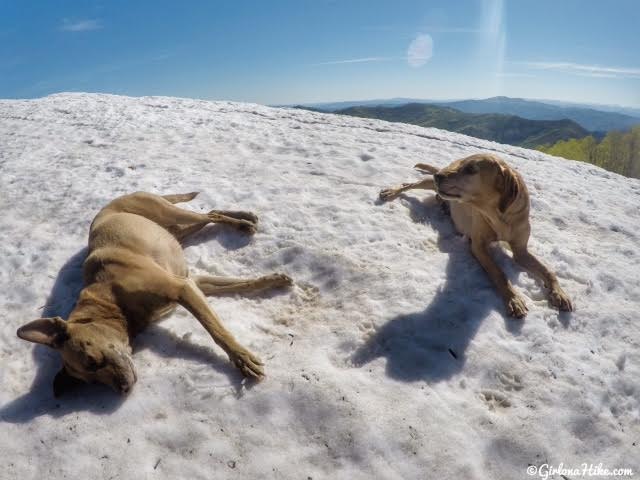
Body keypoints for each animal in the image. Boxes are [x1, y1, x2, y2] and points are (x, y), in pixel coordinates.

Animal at [17, 189, 292, 396]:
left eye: (93, 362)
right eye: (91, 381)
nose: (123, 389)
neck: (111, 299)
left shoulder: (181, 288)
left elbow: (217, 331)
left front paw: (242, 359)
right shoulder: (192, 283)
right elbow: (239, 284)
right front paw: (273, 281)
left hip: (167, 212)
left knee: (209, 213)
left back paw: (243, 222)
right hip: (177, 231)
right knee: (208, 216)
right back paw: (245, 219)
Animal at [380, 154, 576, 318]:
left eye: (471, 169)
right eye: (464, 166)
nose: (439, 176)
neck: (501, 217)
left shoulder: (521, 251)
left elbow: (548, 270)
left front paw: (560, 294)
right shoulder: (478, 246)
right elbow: (499, 273)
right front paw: (514, 299)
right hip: (429, 182)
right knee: (409, 184)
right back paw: (391, 192)